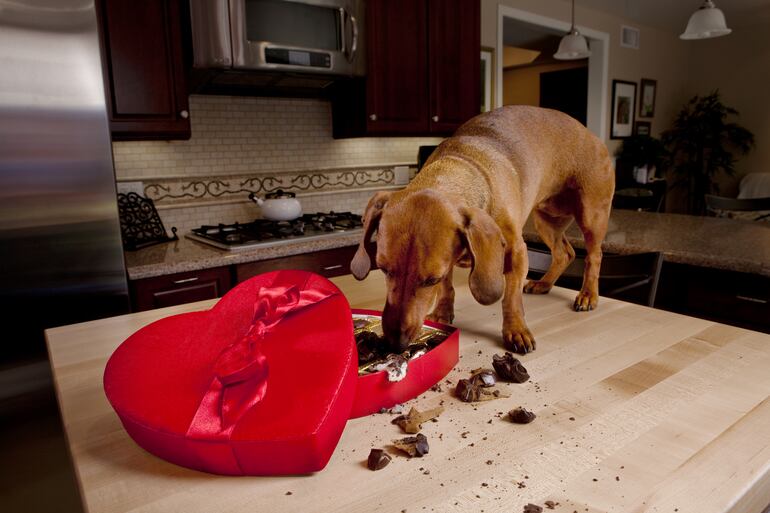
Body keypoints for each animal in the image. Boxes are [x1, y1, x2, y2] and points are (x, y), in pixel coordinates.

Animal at [350, 106, 612, 354]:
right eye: (383, 269)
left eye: (430, 280)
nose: (396, 344)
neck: (460, 166)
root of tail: (591, 135)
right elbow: (447, 288)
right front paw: (442, 312)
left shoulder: (517, 252)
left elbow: (511, 297)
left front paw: (516, 330)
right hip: (546, 220)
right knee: (564, 253)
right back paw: (544, 283)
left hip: (591, 216)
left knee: (594, 255)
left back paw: (588, 294)